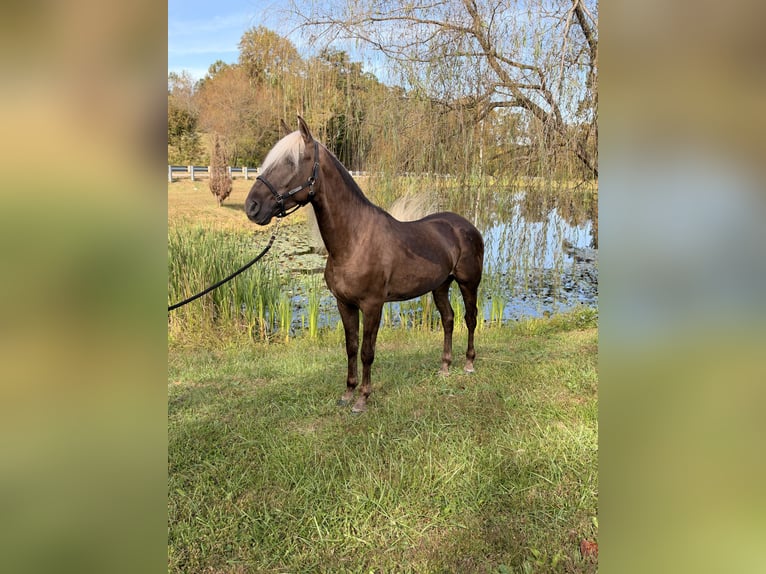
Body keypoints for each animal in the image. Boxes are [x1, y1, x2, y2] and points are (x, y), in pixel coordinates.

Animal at [245, 116, 484, 413]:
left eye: (290, 162)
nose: (252, 207)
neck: (354, 240)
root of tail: (465, 225)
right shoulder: (344, 304)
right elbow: (351, 346)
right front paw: (348, 392)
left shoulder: (372, 305)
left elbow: (367, 351)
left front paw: (363, 398)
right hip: (440, 285)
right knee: (448, 319)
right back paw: (444, 367)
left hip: (468, 283)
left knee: (470, 318)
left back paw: (469, 363)